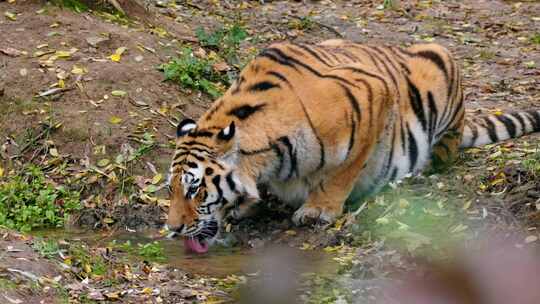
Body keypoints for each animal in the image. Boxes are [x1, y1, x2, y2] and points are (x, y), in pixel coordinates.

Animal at [163, 38, 540, 252]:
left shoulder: (373, 96)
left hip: (441, 65)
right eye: (171, 189)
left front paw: (318, 210)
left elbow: (342, 171)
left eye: (195, 189)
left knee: (441, 155)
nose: (173, 228)